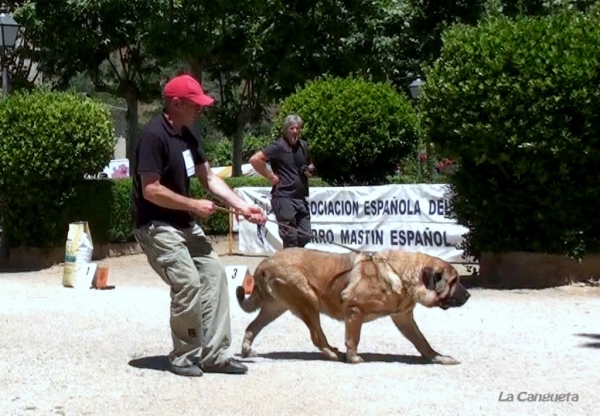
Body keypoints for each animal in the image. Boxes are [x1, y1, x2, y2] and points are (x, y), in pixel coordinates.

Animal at [237, 247, 472, 364]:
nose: (469, 295)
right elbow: (353, 338)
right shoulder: (354, 310)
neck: (401, 273)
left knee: (251, 327)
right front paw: (353, 357)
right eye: (454, 281)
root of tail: (265, 262)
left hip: (276, 307)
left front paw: (438, 357)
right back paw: (333, 354)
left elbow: (422, 341)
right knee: (317, 337)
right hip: (308, 300)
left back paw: (247, 350)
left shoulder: (403, 317)